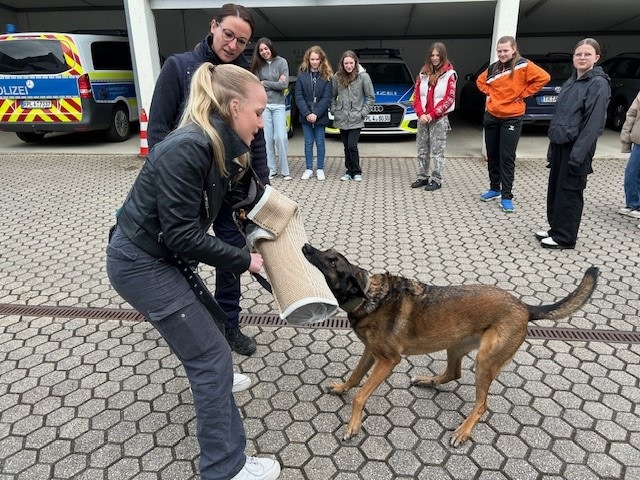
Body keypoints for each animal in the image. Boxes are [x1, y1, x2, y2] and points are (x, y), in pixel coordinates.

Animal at [302, 244, 600, 446]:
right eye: (328, 252)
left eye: (331, 260)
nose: (306, 246)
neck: (368, 296)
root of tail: (524, 307)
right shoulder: (371, 353)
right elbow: (355, 377)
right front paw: (342, 387)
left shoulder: (388, 360)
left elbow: (360, 396)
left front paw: (353, 425)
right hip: (454, 345)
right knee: (453, 373)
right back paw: (428, 381)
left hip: (484, 361)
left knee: (481, 405)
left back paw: (464, 430)